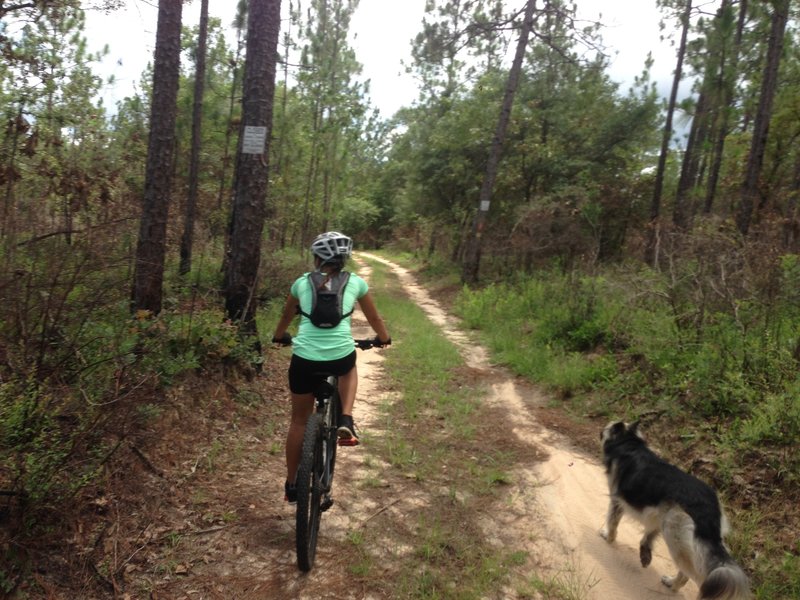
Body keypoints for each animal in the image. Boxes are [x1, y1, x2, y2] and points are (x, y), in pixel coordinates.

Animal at [600, 422, 752, 600]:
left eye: (607, 428)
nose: (601, 431)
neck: (629, 443)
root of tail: (708, 507)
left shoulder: (617, 500)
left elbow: (612, 522)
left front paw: (608, 537)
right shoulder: (658, 514)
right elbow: (649, 534)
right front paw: (645, 552)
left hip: (674, 533)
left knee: (693, 576)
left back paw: (673, 584)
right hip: (684, 533)